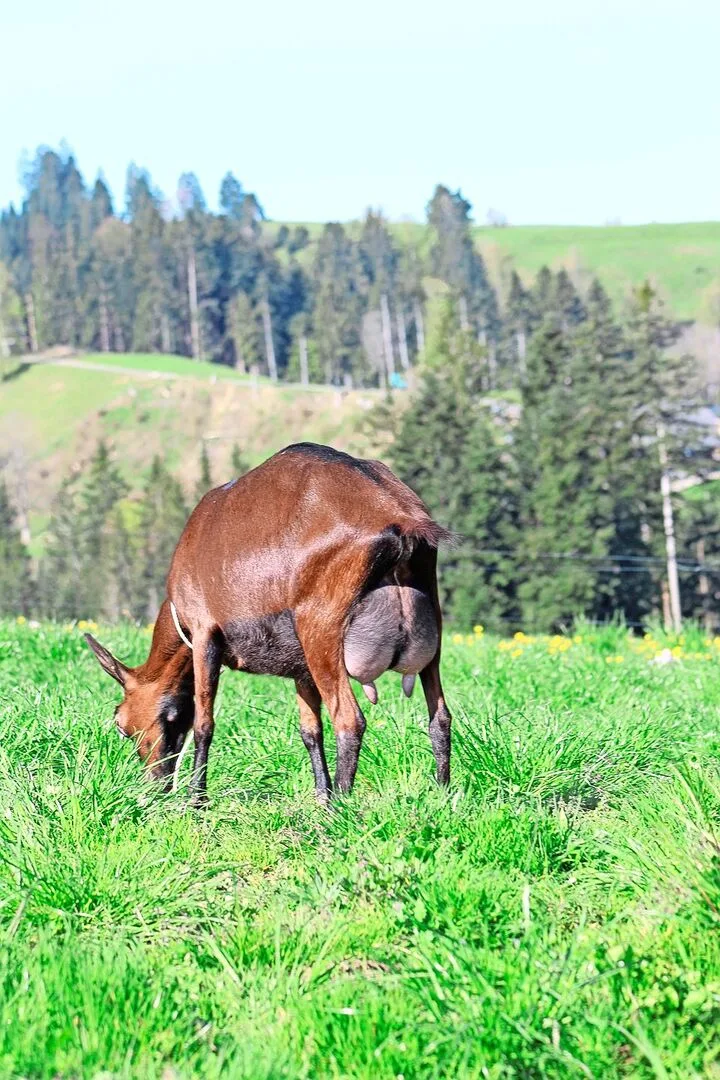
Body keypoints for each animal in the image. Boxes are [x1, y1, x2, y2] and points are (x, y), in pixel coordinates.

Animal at [85, 443, 453, 803]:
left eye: (121, 725)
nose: (154, 787)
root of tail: (400, 516)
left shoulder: (204, 632)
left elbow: (204, 722)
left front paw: (196, 799)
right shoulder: (299, 665)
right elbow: (310, 730)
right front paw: (321, 797)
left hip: (320, 629)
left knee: (349, 720)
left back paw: (343, 806)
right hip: (430, 626)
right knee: (440, 716)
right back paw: (442, 794)